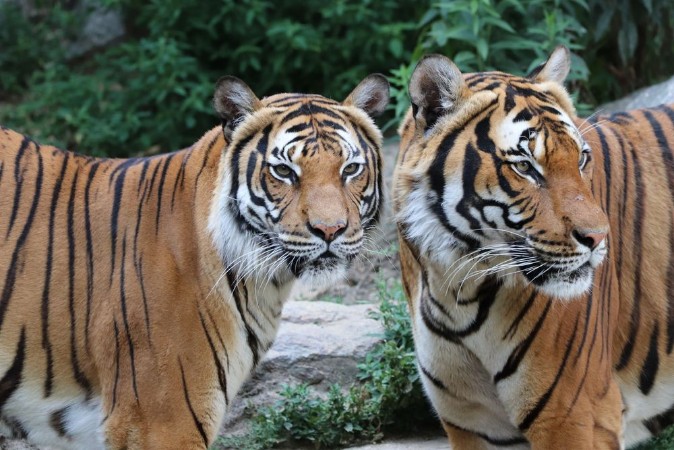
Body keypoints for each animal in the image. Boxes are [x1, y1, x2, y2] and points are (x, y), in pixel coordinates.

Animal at [393, 45, 674, 449]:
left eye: (581, 158)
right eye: (525, 167)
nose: (599, 237)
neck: (456, 291)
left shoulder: (575, 418)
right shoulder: (471, 423)